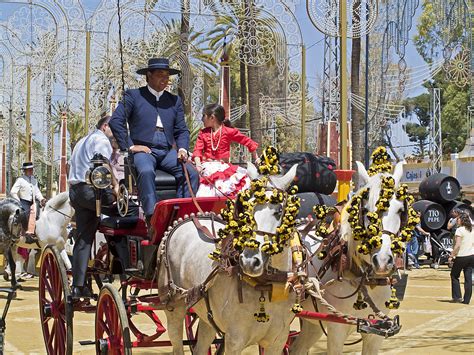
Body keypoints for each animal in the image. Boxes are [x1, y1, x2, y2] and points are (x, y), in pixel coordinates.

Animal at [159, 163, 300, 354]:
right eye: (245, 209)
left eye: (279, 211)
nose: (250, 261)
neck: (266, 285)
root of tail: (190, 219)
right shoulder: (235, 340)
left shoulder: (277, 341)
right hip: (174, 307)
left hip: (206, 317)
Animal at [292, 162, 408, 355]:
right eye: (366, 210)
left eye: (400, 210)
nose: (382, 261)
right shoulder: (336, 328)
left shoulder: (375, 333)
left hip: (312, 323)